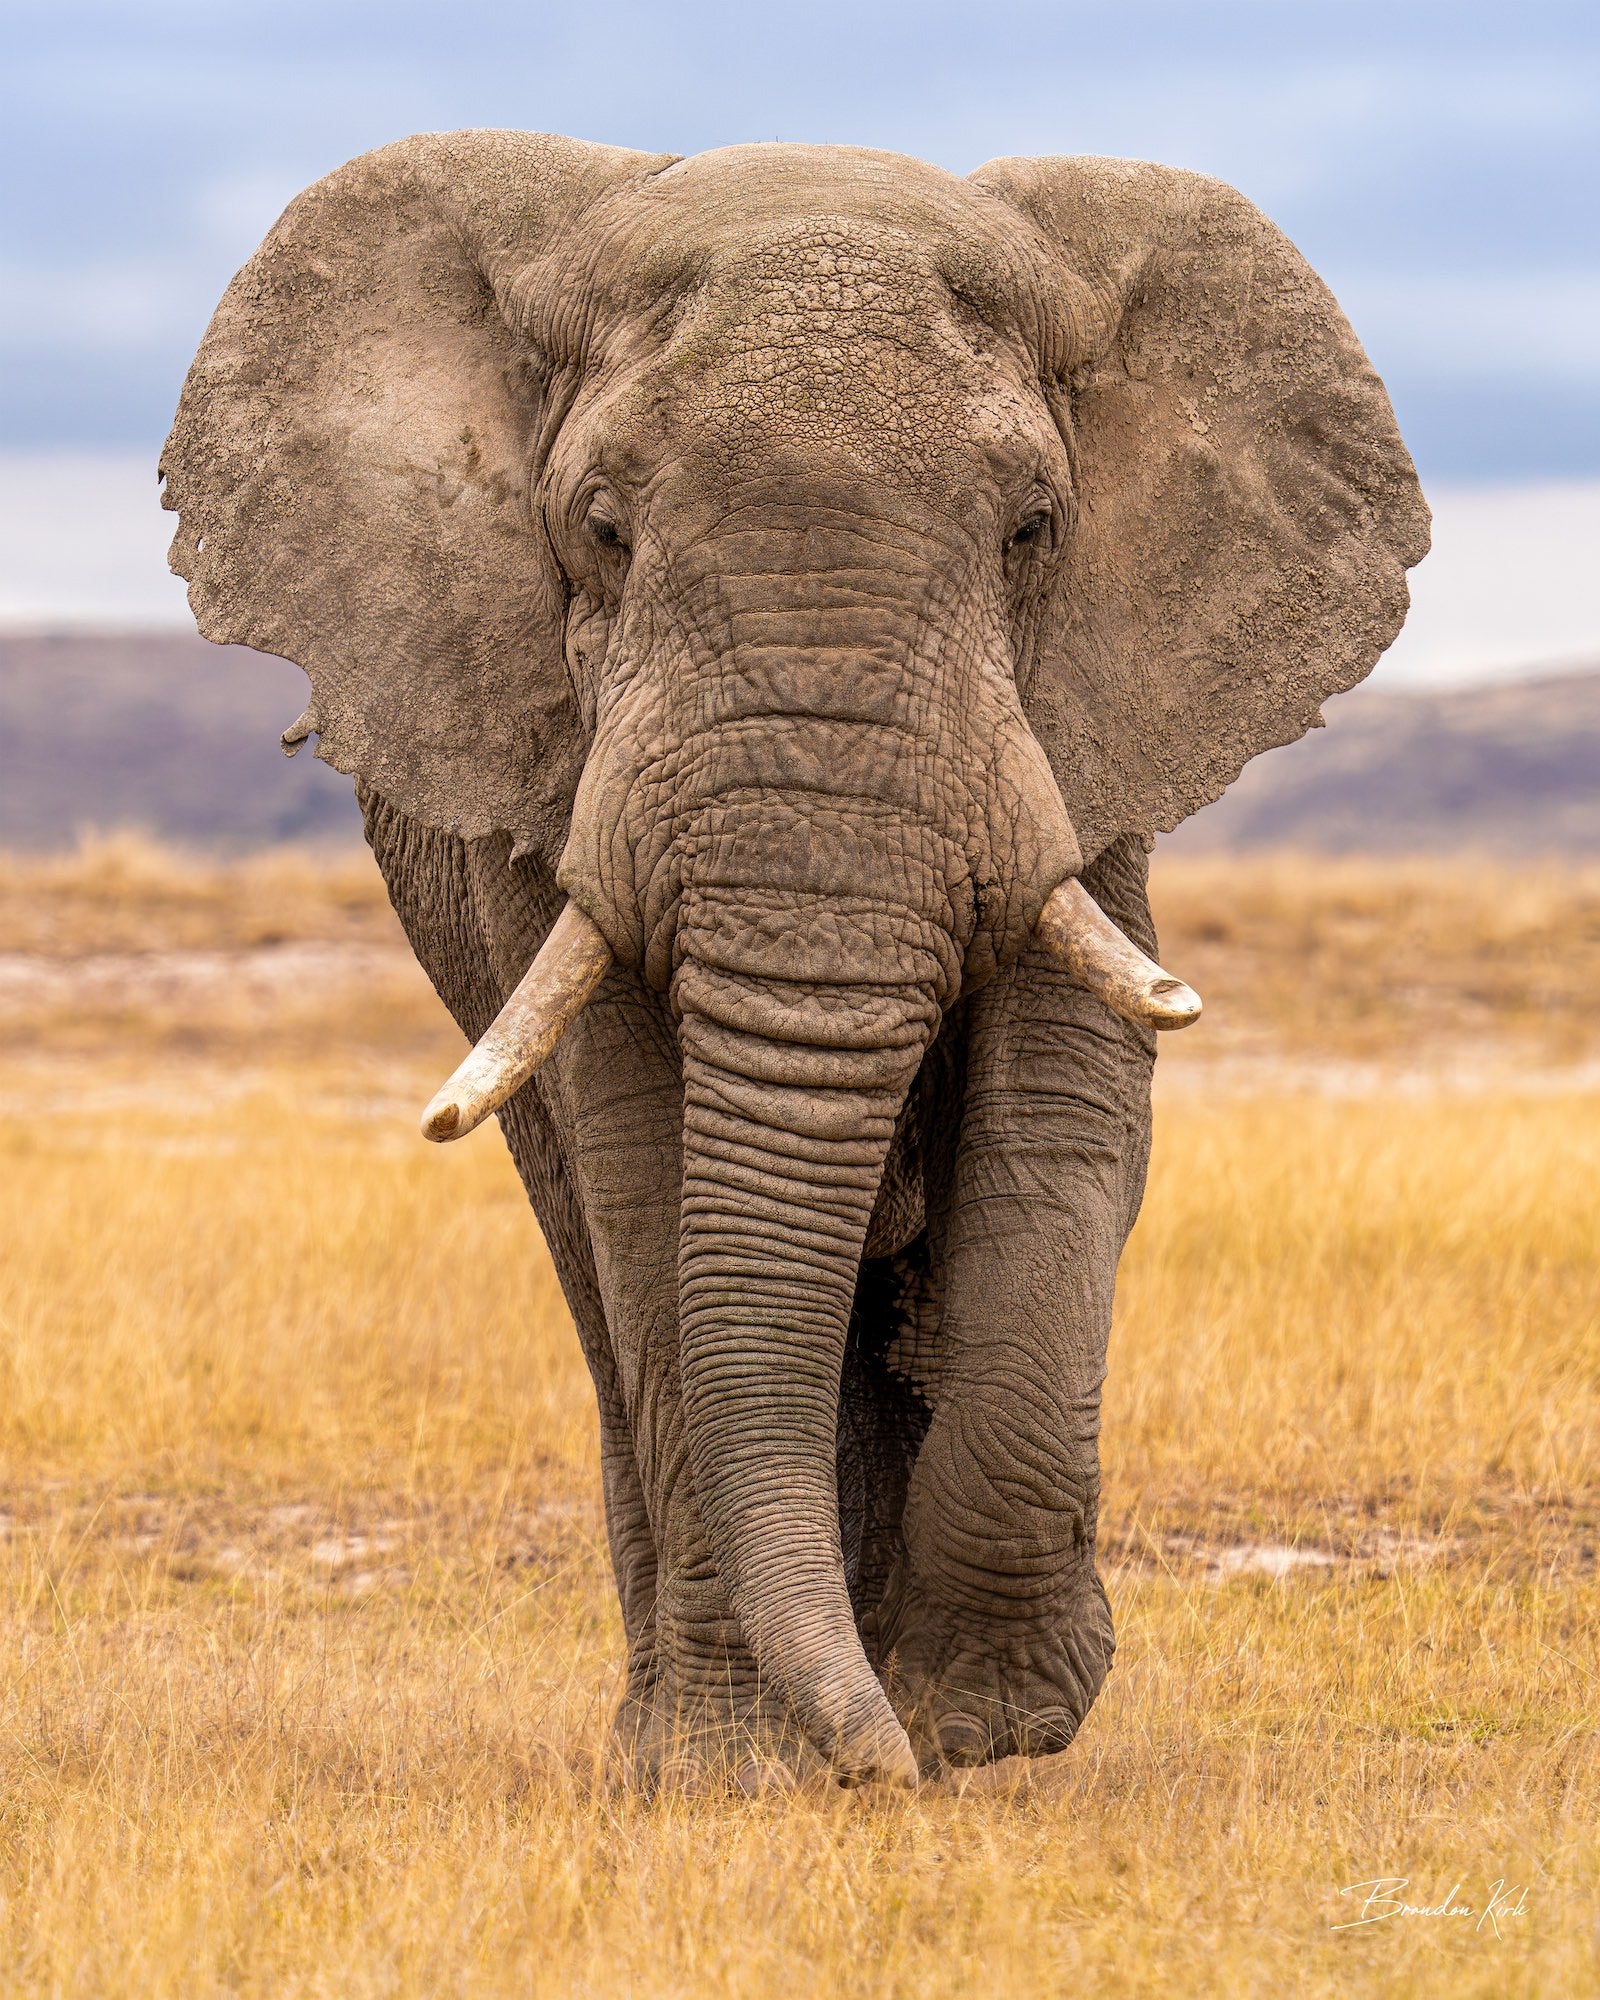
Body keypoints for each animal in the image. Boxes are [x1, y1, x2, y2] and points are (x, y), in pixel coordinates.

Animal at [162, 133, 1428, 1790]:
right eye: (601, 529)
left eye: (1033, 530)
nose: (879, 1769)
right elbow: (648, 1165)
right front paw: (749, 1771)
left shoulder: (1085, 742)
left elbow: (1059, 1117)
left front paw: (981, 1727)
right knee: (603, 1268)